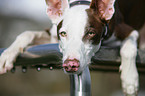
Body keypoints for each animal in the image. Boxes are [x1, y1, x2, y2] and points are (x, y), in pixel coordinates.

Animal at [0, 0, 145, 95]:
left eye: (91, 33)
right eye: (63, 33)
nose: (71, 65)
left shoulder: (128, 31)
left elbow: (128, 49)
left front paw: (130, 80)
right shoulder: (52, 35)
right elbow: (26, 33)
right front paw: (7, 55)